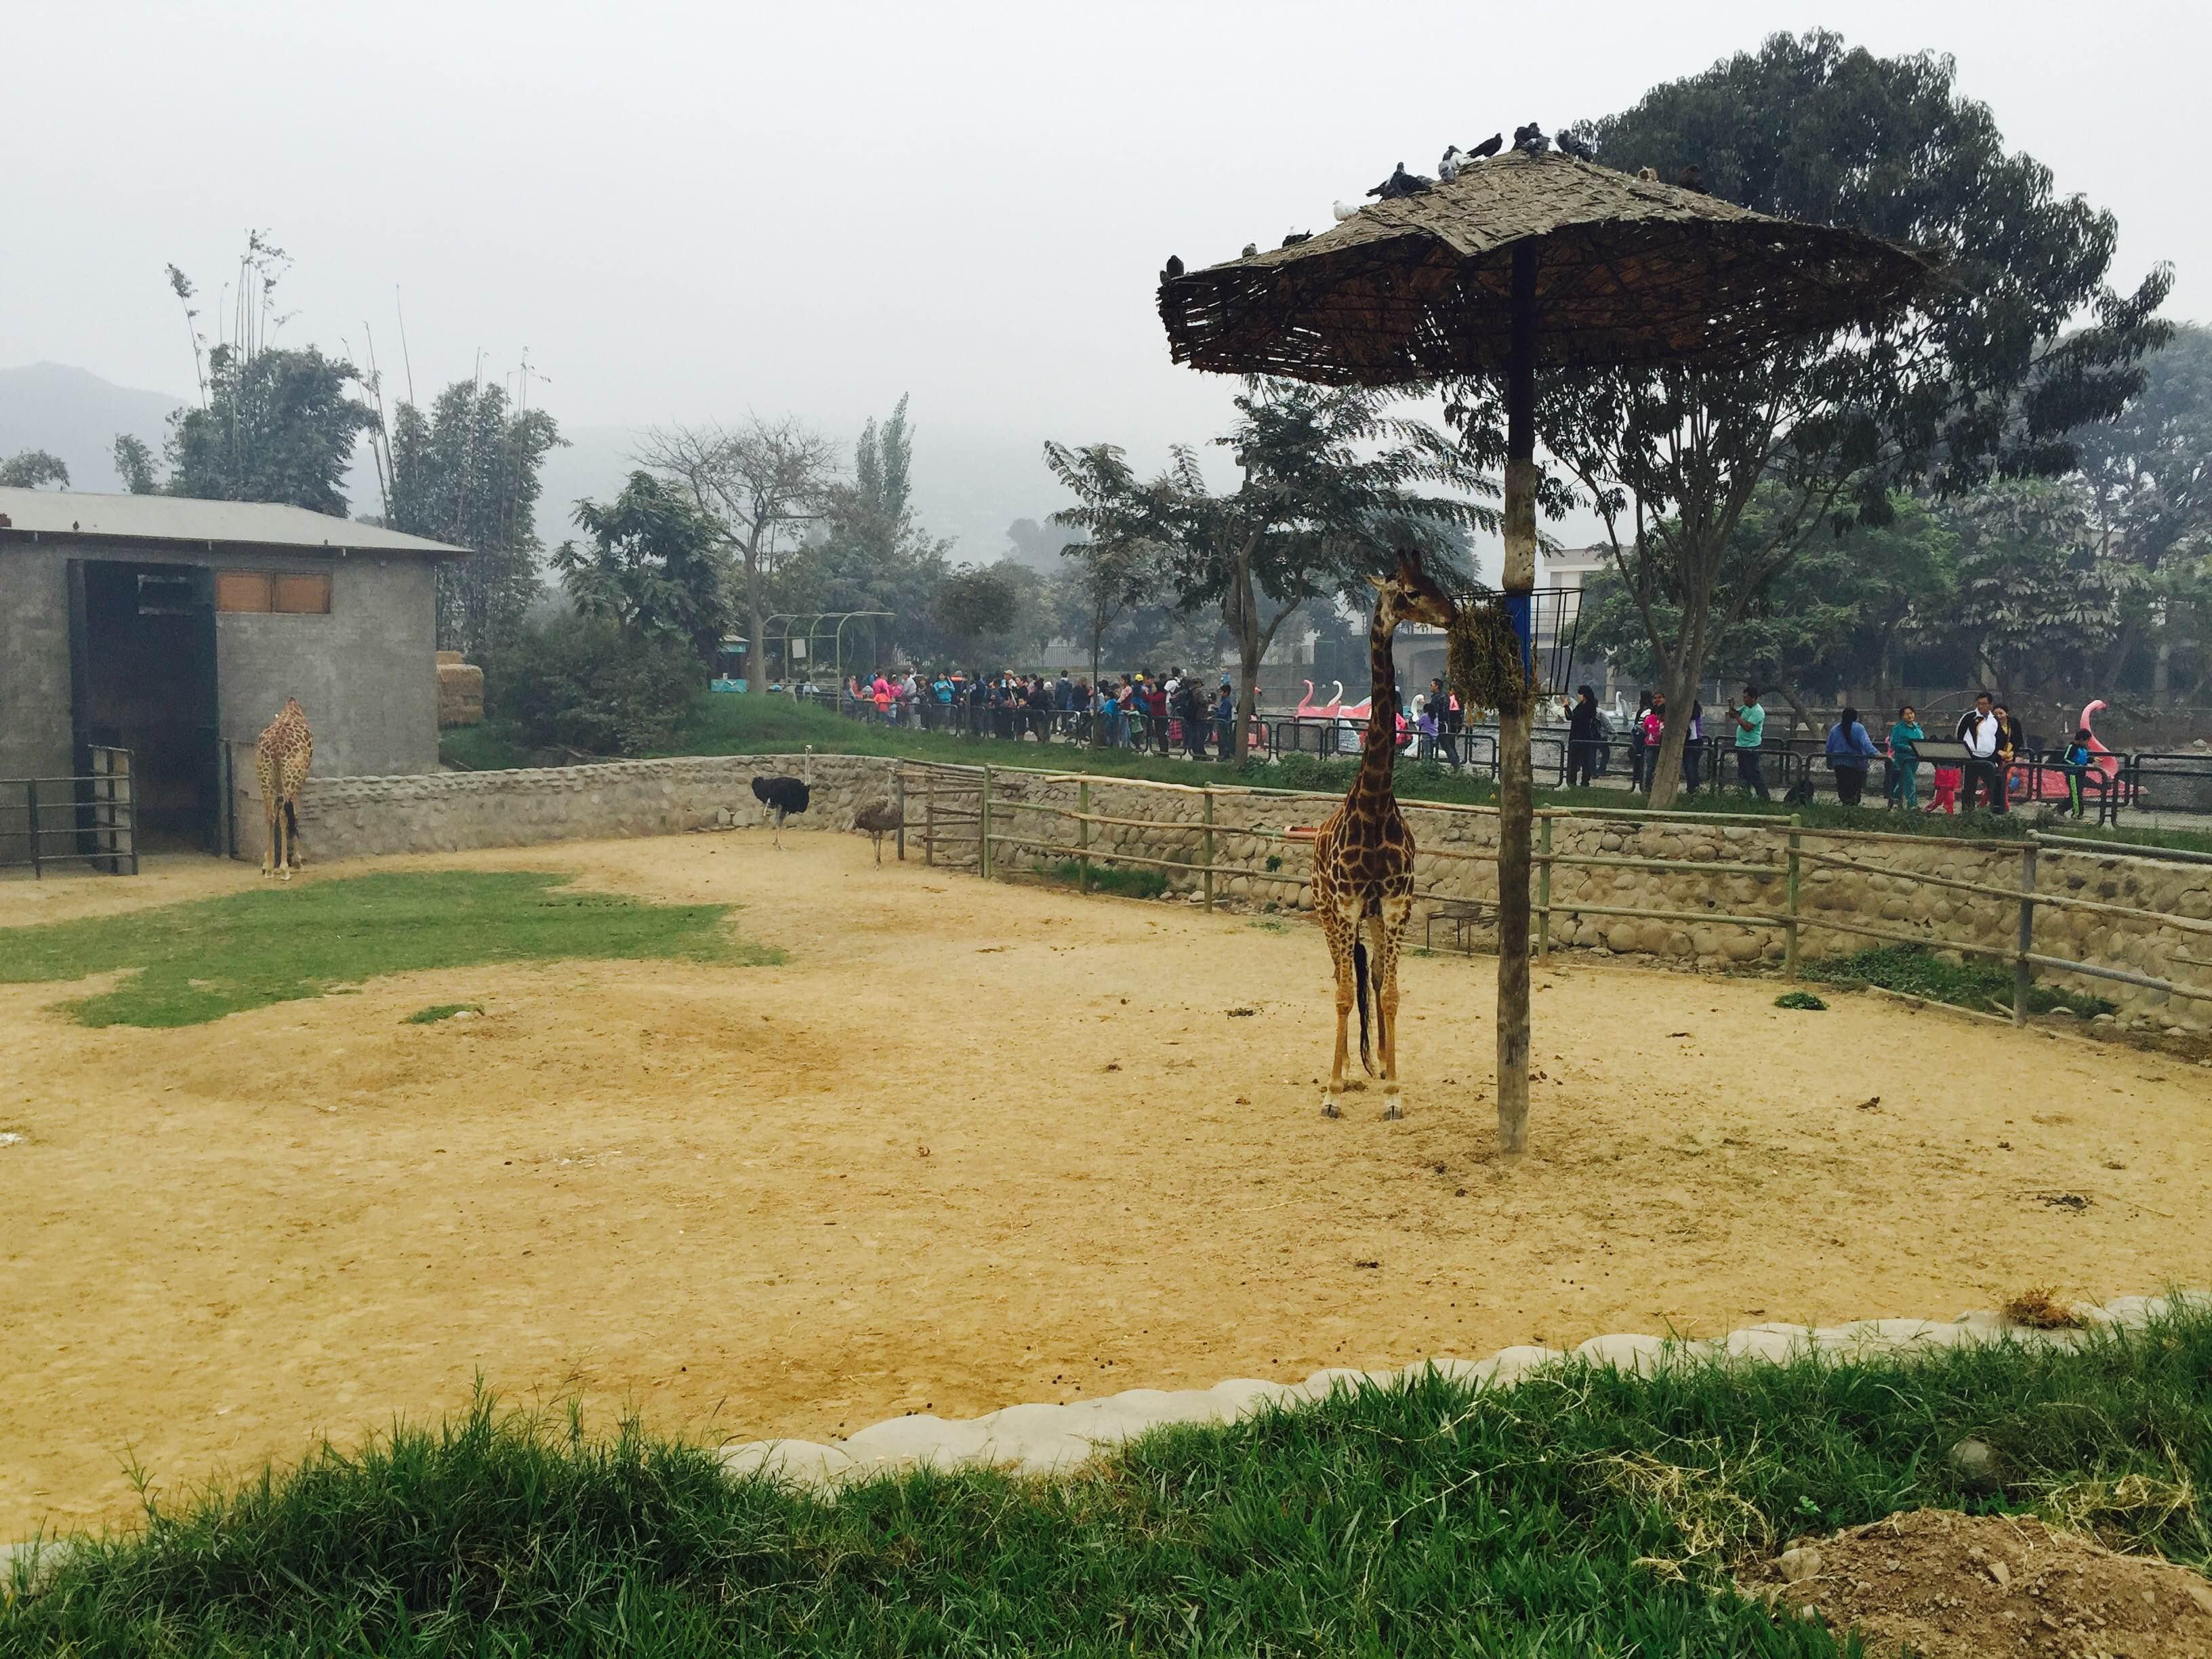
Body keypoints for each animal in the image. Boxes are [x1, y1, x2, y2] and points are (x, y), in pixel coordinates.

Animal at [258, 703, 316, 884]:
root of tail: (276, 746)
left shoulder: (278, 785)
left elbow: (277, 811)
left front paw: (266, 863)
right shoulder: (299, 780)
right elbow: (295, 814)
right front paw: (297, 862)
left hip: (266, 777)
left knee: (270, 815)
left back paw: (270, 869)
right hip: (291, 778)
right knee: (284, 814)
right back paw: (284, 869)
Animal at [1300, 553, 1460, 1124]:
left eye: (1435, 581)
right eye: (1408, 592)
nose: (1452, 614)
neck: (1372, 803)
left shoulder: (1394, 902)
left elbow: (1389, 992)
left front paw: (1393, 1088)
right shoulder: (1348, 903)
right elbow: (1345, 994)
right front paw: (1331, 1090)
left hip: (1366, 916)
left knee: (1367, 978)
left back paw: (1375, 1066)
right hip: (1326, 910)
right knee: (1339, 978)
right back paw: (1345, 1072)